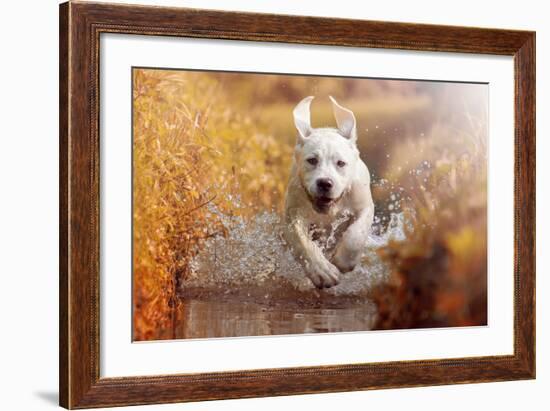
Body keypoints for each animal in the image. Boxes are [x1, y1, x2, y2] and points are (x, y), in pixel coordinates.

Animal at [284, 96, 376, 290]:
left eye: (341, 163)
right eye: (312, 160)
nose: (325, 183)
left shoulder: (364, 207)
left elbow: (356, 234)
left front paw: (344, 261)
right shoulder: (293, 216)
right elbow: (303, 243)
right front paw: (322, 272)